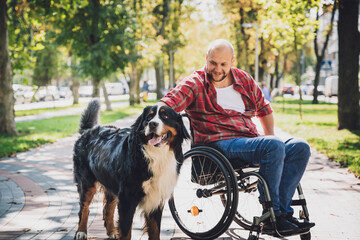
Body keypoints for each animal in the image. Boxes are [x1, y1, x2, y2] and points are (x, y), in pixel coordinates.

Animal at [73, 98, 191, 239]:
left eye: (165, 116)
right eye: (149, 117)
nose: (152, 124)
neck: (156, 155)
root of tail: (88, 130)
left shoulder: (156, 198)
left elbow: (155, 230)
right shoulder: (127, 198)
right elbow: (126, 232)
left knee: (108, 208)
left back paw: (112, 232)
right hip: (87, 183)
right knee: (84, 207)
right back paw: (81, 232)